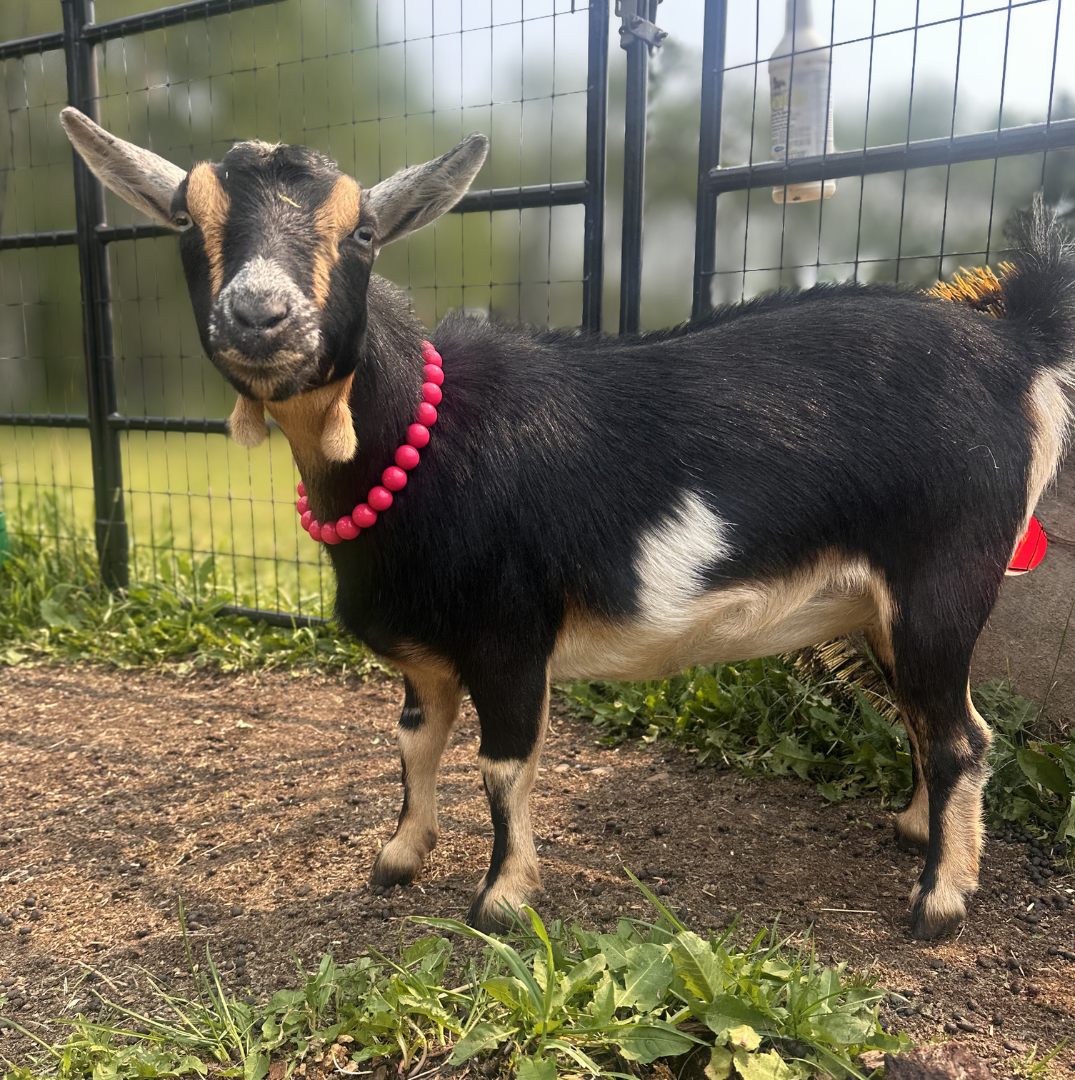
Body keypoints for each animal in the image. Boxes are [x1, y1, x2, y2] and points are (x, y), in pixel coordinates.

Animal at [62, 108, 1075, 940]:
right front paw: (399, 857)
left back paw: (939, 903)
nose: (259, 316)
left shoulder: (510, 635)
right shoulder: (427, 652)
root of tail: (1016, 342)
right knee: (926, 718)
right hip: (882, 608)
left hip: (942, 576)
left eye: (363, 231)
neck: (418, 447)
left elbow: (502, 766)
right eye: (184, 222)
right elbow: (414, 744)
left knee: (962, 735)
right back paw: (914, 831)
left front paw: (502, 899)